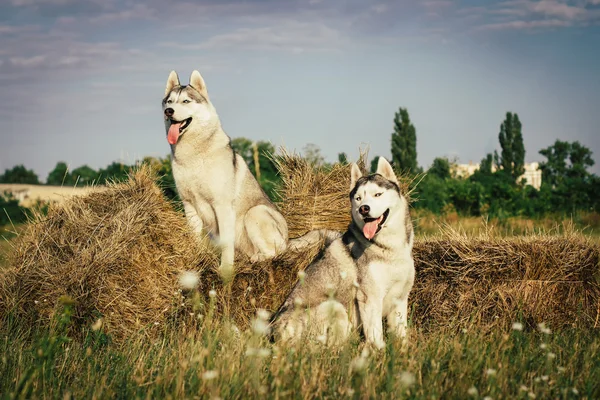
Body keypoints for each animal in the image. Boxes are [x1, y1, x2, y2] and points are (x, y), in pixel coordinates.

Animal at [162, 70, 288, 276]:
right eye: (169, 101)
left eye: (186, 101)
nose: (169, 112)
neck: (194, 155)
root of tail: (289, 239)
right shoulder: (189, 206)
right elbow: (195, 239)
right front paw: (198, 262)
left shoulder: (222, 206)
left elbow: (226, 244)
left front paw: (226, 268)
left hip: (255, 213)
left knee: (274, 252)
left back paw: (257, 258)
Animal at [274, 158, 414, 348]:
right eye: (358, 198)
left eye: (377, 194)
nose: (363, 209)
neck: (388, 248)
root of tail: (274, 334)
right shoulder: (370, 298)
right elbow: (376, 336)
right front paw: (378, 352)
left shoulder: (400, 298)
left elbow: (402, 335)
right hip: (335, 307)